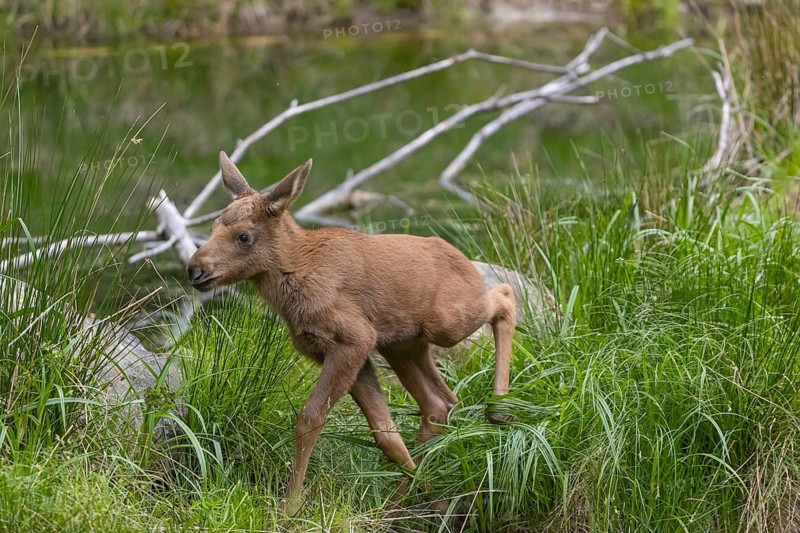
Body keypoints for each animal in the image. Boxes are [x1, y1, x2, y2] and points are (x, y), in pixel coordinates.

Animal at [187, 152, 517, 515]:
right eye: (214, 225)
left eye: (244, 236)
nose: (194, 269)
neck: (294, 286)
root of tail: (462, 258)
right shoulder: (348, 352)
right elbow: (385, 433)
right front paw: (428, 498)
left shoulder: (353, 339)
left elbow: (310, 418)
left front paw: (290, 505)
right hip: (402, 345)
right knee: (439, 404)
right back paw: (410, 499)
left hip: (443, 323)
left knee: (504, 296)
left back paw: (499, 408)